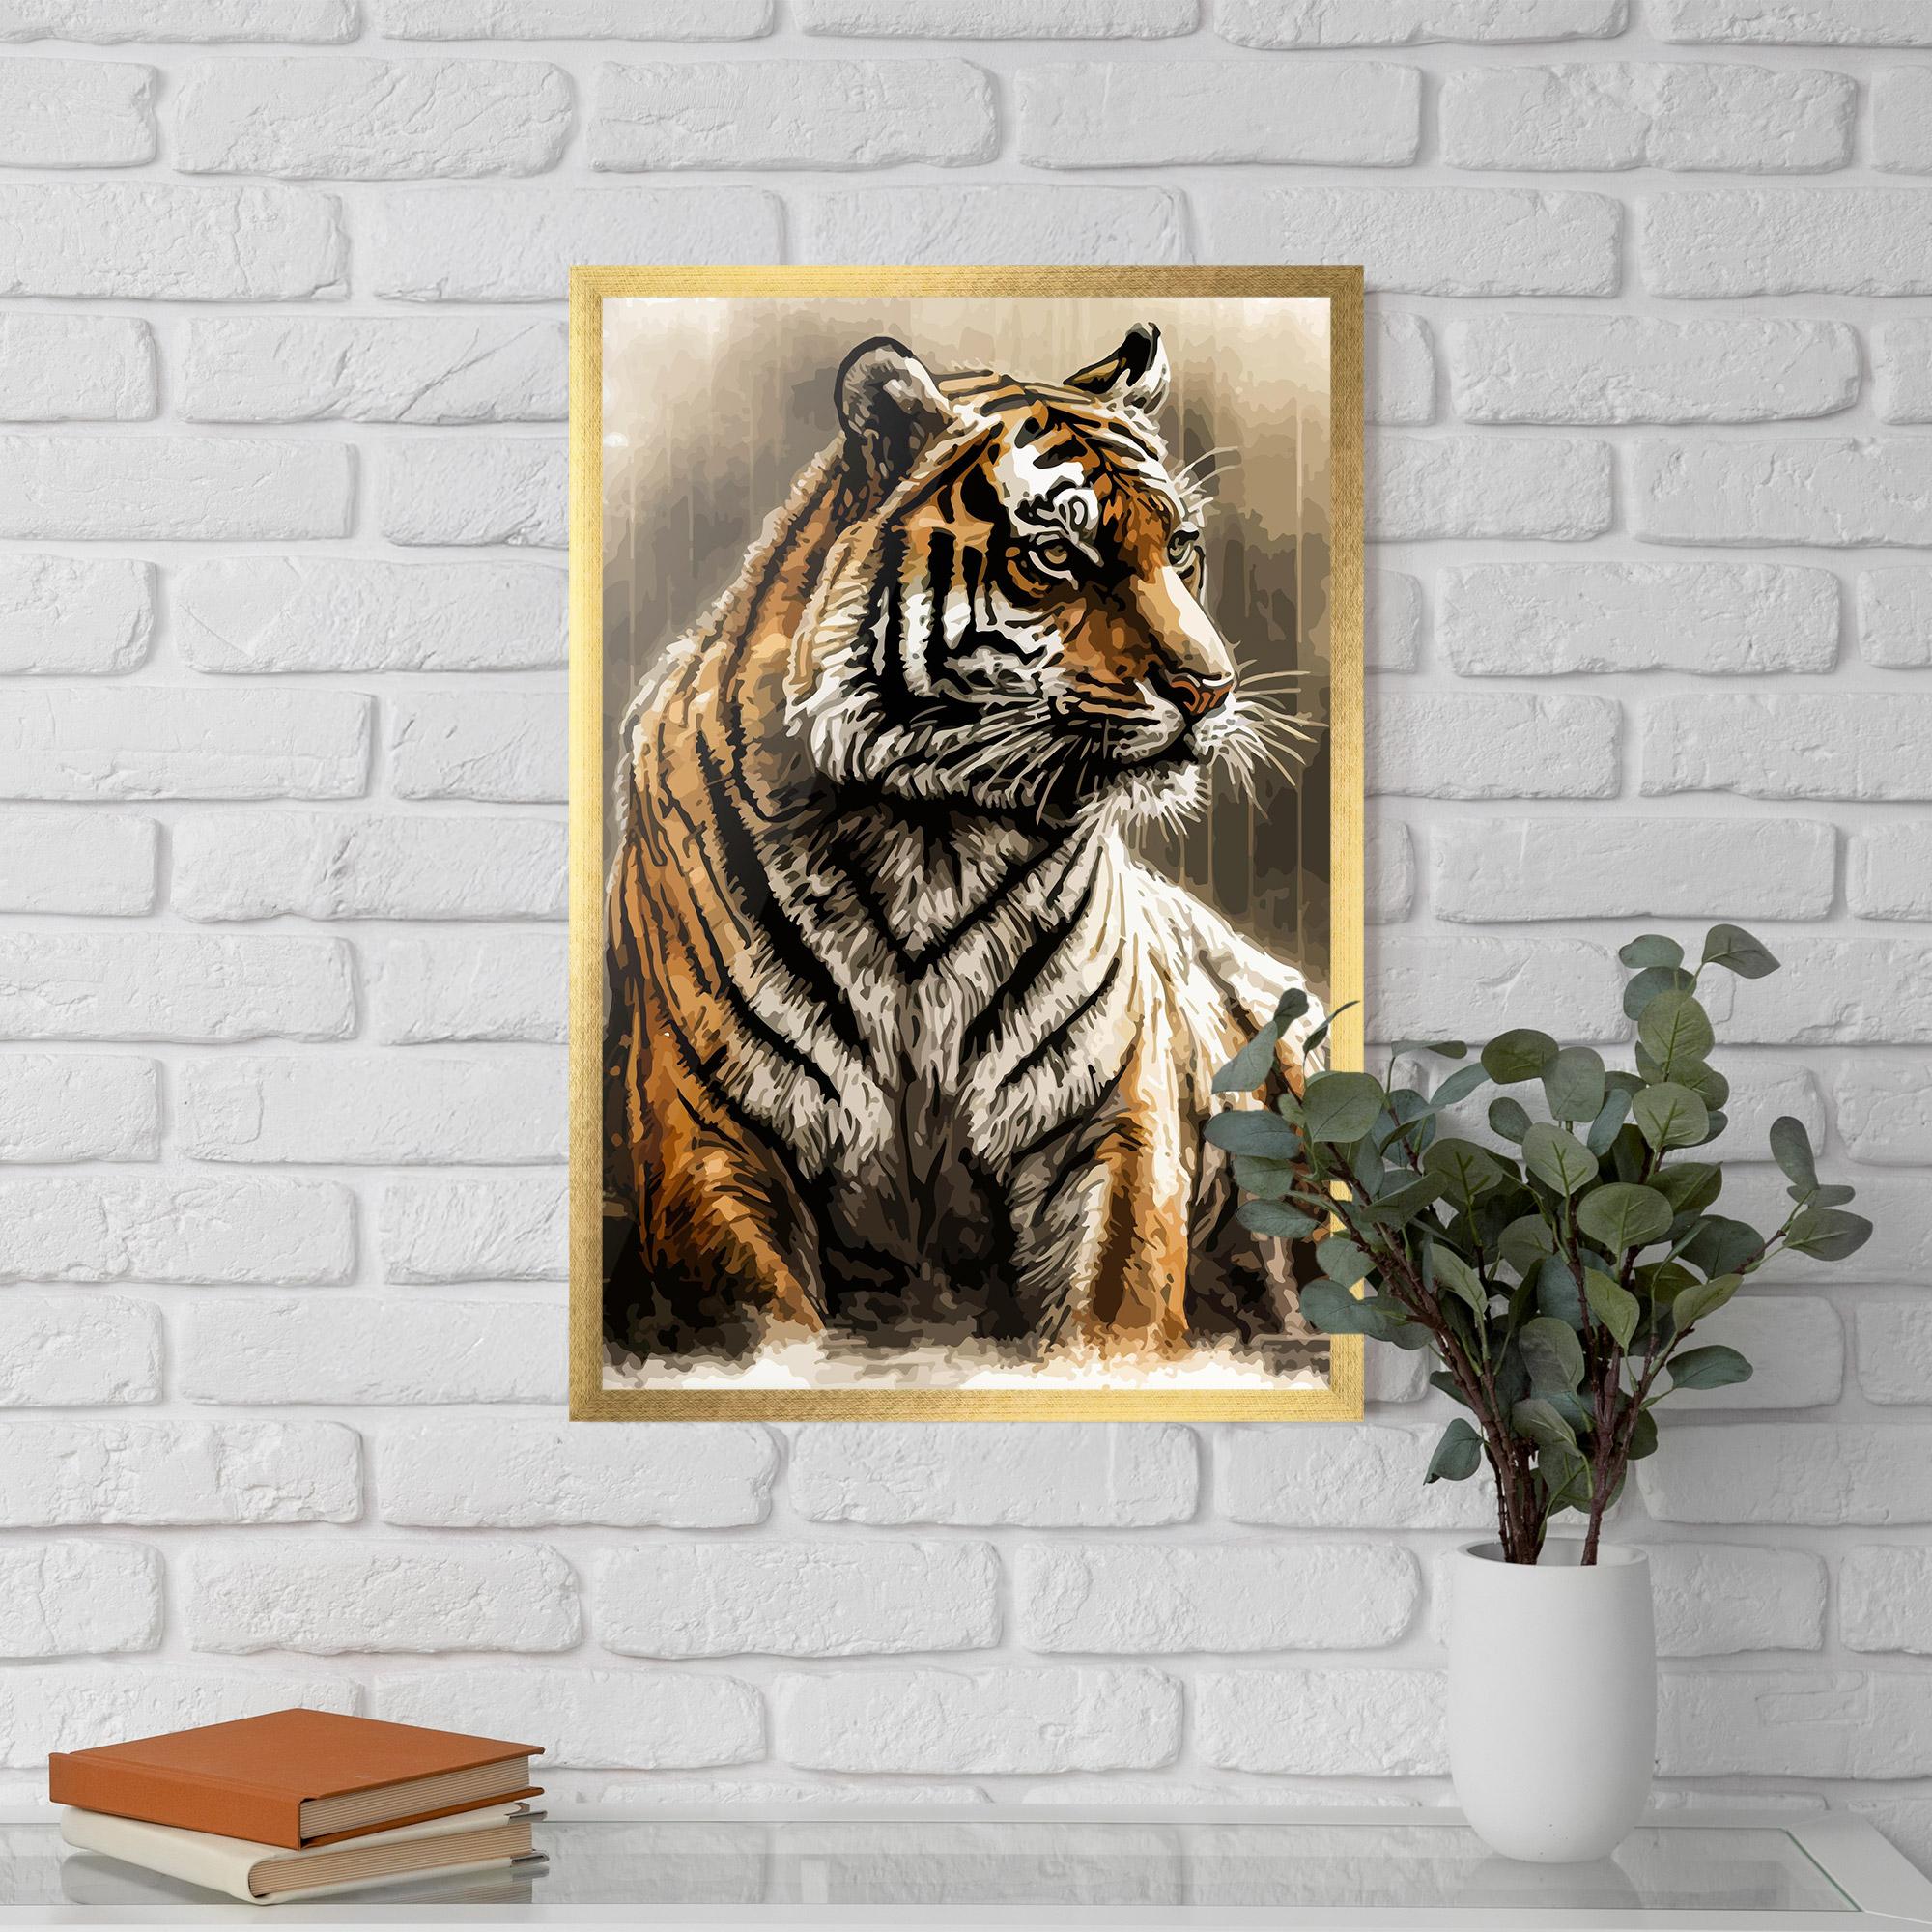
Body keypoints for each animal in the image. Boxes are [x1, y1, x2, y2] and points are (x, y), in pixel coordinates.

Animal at [602, 322, 1325, 1370]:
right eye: (1057, 555)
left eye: (1181, 547)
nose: (1209, 688)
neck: (929, 834)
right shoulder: (709, 1135)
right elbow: (771, 1328)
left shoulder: (1111, 1121)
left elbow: (1113, 1312)